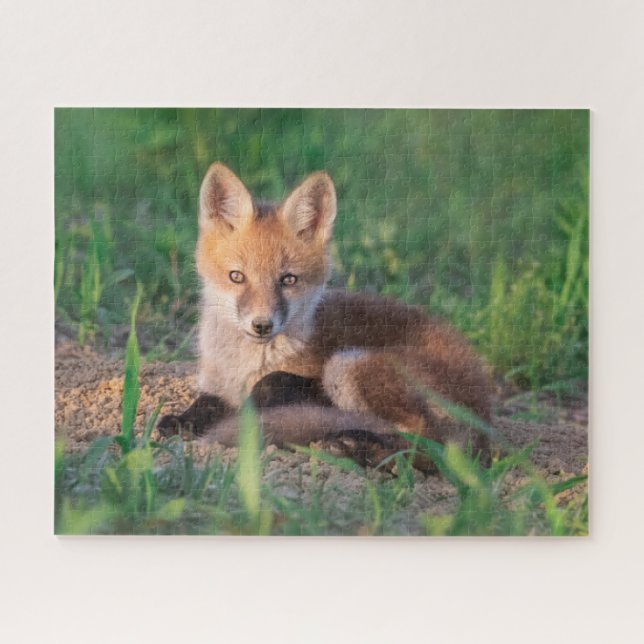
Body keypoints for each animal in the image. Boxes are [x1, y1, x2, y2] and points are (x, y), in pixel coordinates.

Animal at [157, 163, 493, 469]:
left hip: (348, 364)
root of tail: (485, 415)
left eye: (288, 280)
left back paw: (362, 449)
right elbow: (205, 403)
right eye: (236, 277)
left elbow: (271, 383)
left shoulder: (309, 379)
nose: (262, 325)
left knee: (430, 445)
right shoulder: (215, 384)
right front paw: (183, 421)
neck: (243, 364)